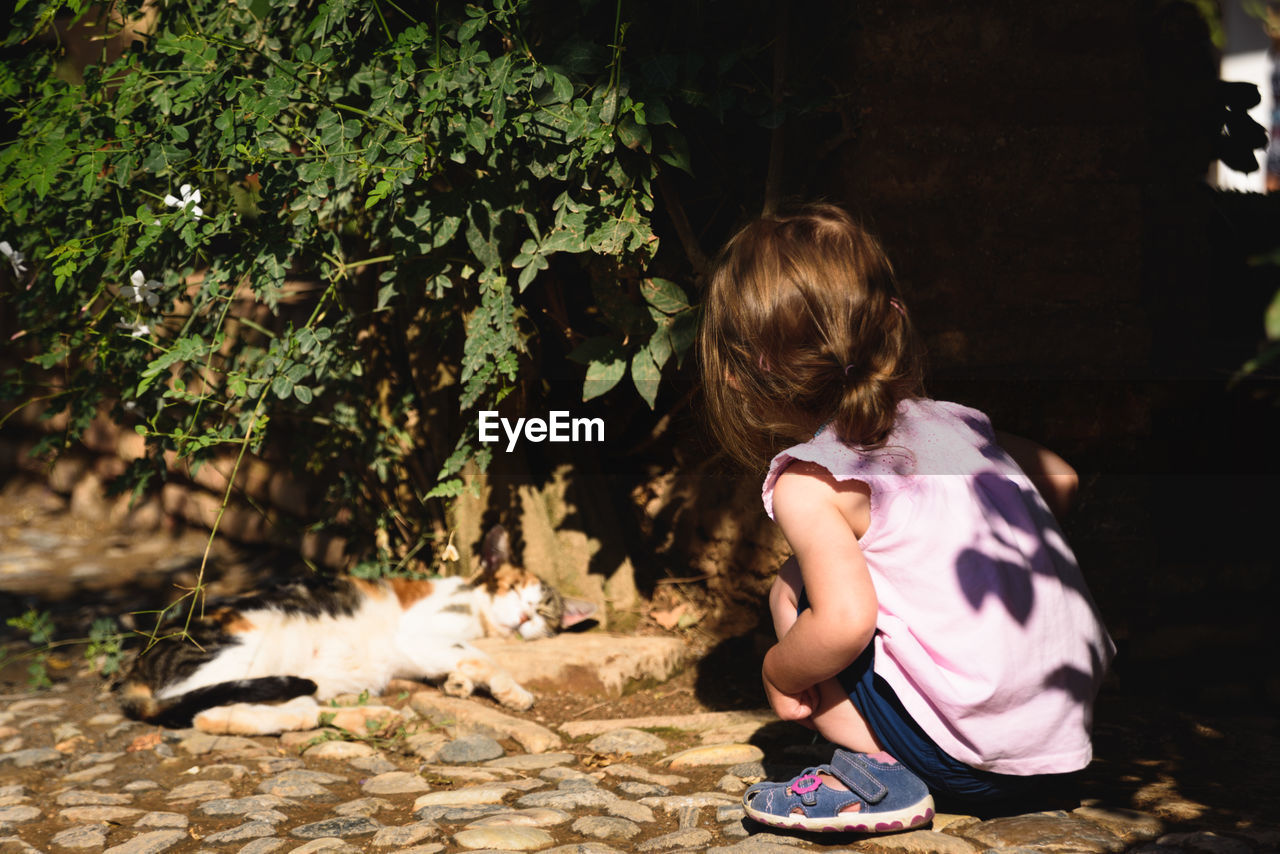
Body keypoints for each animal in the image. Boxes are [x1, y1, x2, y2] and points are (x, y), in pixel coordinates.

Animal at [117, 527, 596, 737]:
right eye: (513, 589)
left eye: (543, 611)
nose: (524, 617)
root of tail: (136, 667)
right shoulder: (416, 636)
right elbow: (483, 656)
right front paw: (511, 690)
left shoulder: (418, 653)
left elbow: (465, 659)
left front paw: (459, 683)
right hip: (241, 651)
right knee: (210, 712)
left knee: (295, 708)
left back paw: (371, 718)